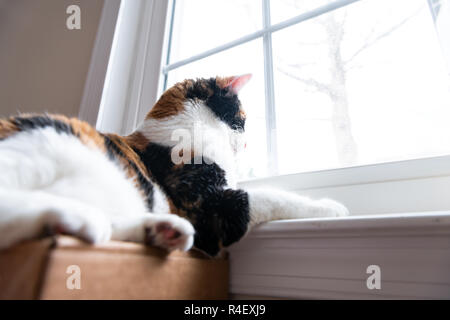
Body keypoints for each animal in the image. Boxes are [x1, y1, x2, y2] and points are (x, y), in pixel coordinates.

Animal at [0, 75, 348, 258]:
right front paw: (331, 208)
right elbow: (273, 198)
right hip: (44, 148)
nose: (248, 144)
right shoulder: (209, 207)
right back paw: (75, 218)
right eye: (243, 120)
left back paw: (162, 230)